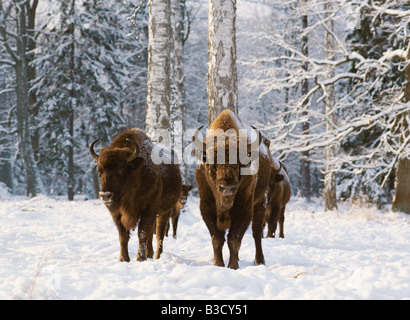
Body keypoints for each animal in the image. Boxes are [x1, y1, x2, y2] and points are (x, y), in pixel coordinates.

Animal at [90, 129, 182, 262]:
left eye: (122, 170)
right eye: (99, 171)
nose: (105, 195)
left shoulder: (149, 209)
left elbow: (142, 233)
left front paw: (140, 258)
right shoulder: (116, 213)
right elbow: (123, 235)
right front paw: (123, 259)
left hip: (164, 211)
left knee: (159, 234)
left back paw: (157, 256)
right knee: (151, 233)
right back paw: (150, 254)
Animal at [193, 110, 272, 270]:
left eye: (240, 162)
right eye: (212, 162)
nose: (227, 188)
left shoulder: (244, 210)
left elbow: (234, 239)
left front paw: (233, 266)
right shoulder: (206, 208)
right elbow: (217, 238)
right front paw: (218, 264)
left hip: (261, 202)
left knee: (257, 232)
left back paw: (260, 261)